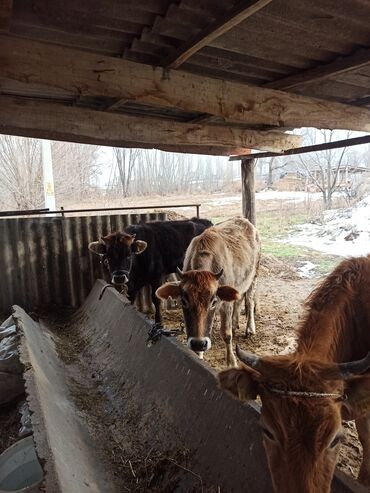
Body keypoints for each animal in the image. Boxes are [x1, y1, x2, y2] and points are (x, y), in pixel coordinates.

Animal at [156, 216, 260, 366]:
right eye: (184, 301)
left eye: (213, 301)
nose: (199, 343)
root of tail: (243, 219)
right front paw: (198, 356)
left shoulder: (225, 304)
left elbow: (226, 334)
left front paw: (231, 361)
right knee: (239, 299)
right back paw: (235, 324)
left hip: (254, 276)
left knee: (249, 301)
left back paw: (250, 328)